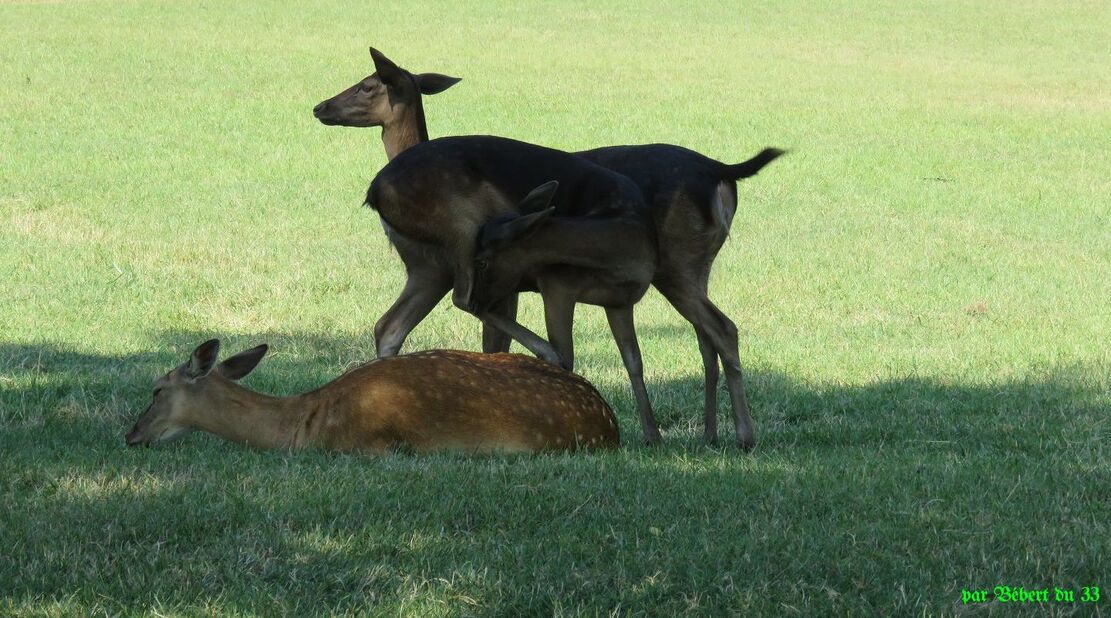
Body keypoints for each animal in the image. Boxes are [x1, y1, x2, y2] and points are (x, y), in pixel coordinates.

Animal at [308, 46, 786, 444]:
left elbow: (493, 339)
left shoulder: (503, 278)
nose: (320, 107)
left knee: (719, 329)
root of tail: (723, 170)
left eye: (368, 84)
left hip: (668, 261)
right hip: (691, 266)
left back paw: (739, 435)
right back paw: (710, 434)